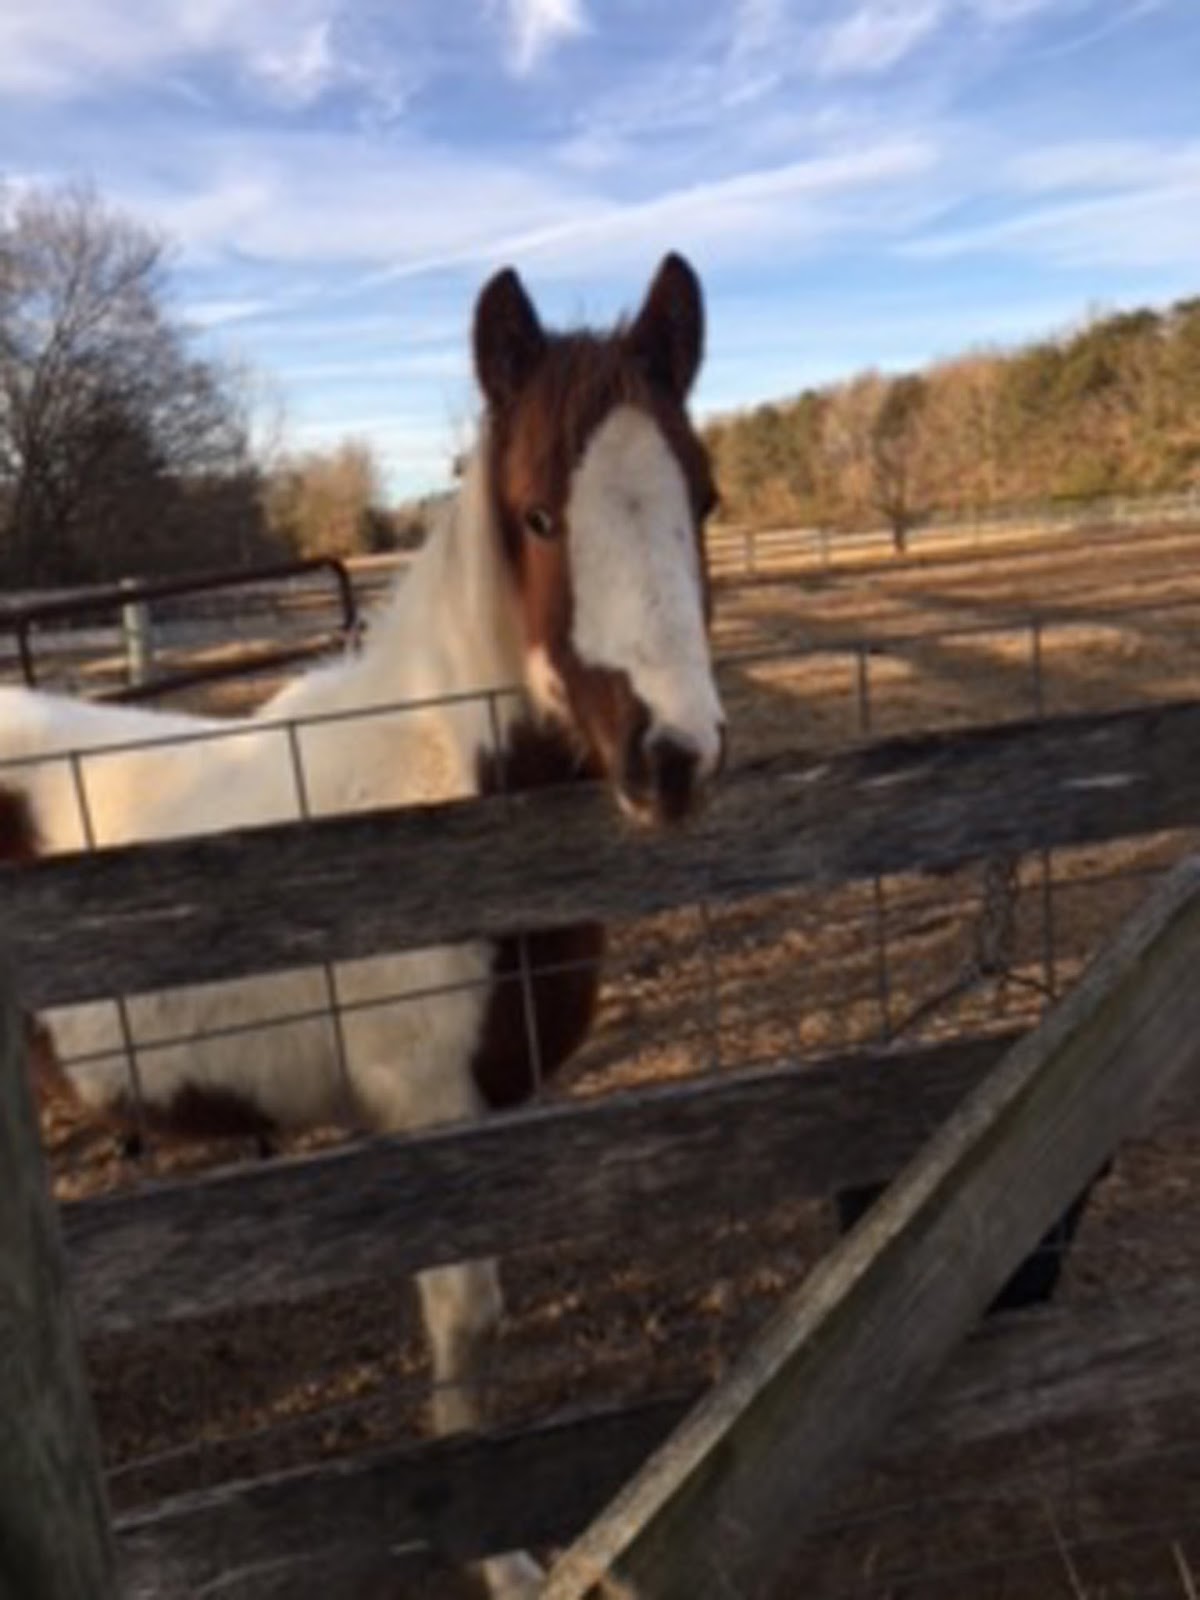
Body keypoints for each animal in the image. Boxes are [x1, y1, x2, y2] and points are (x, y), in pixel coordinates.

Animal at [0, 251, 724, 1598]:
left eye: (703, 498)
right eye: (538, 517)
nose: (676, 760)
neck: (431, 797)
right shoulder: (429, 1116)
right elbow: (466, 1337)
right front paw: (499, 1557)